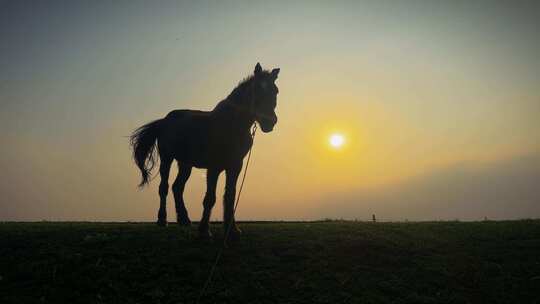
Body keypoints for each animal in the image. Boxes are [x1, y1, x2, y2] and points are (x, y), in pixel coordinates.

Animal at [130, 61, 278, 238]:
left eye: (275, 91)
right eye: (257, 89)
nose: (270, 122)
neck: (232, 124)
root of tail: (163, 121)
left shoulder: (235, 166)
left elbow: (230, 195)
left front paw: (232, 230)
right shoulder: (214, 167)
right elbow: (210, 198)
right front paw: (204, 231)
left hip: (185, 164)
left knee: (177, 187)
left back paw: (184, 220)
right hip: (167, 159)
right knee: (164, 187)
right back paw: (162, 220)